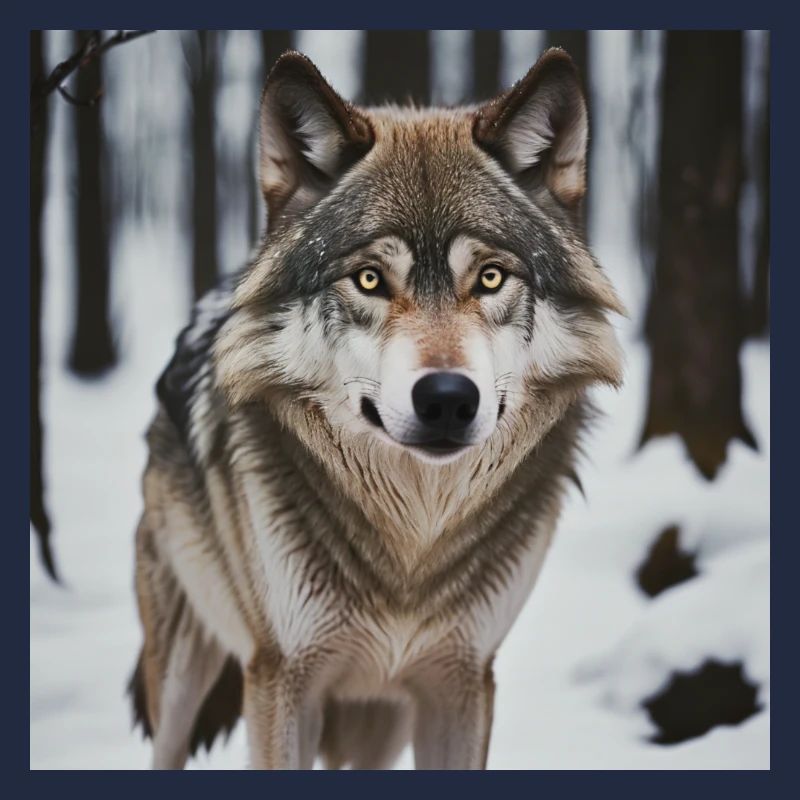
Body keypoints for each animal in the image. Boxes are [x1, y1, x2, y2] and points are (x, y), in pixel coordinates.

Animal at [129, 47, 624, 770]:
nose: (447, 399)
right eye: (369, 279)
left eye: (491, 277)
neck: (410, 545)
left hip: (377, 723)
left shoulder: (461, 681)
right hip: (184, 676)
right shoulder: (282, 679)